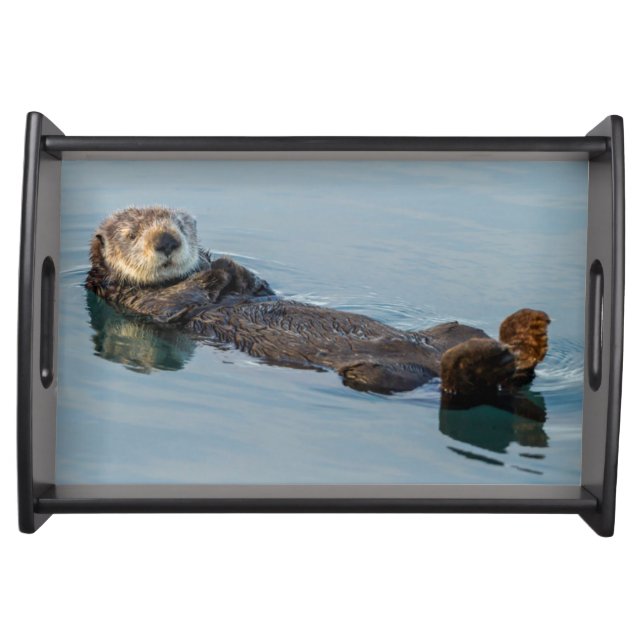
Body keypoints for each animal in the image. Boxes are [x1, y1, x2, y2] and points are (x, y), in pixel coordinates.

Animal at [85, 206, 550, 398]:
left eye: (180, 225)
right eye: (132, 234)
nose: (167, 240)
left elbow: (256, 286)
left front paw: (223, 263)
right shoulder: (144, 304)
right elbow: (183, 299)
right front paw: (217, 269)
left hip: (450, 331)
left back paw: (526, 335)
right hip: (375, 375)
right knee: (463, 386)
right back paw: (490, 357)